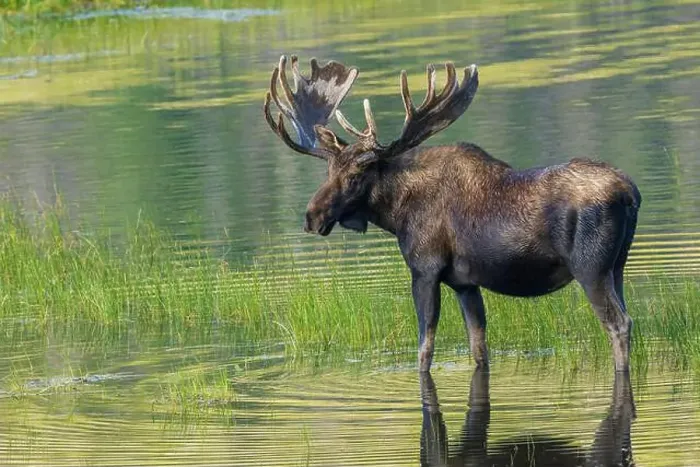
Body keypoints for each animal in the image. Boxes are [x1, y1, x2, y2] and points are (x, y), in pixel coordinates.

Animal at [263, 55, 641, 374]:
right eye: (328, 172)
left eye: (356, 175)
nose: (311, 217)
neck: (395, 213)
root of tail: (630, 193)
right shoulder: (465, 283)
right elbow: (478, 347)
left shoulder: (425, 270)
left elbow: (424, 349)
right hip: (617, 267)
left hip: (590, 268)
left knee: (618, 323)